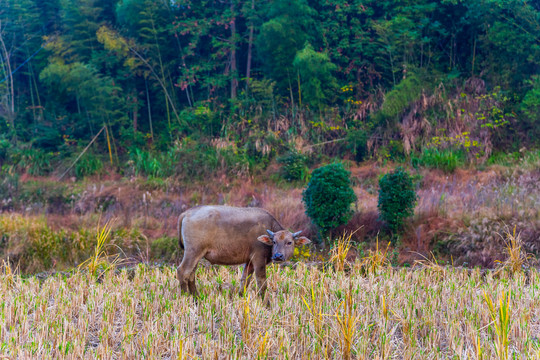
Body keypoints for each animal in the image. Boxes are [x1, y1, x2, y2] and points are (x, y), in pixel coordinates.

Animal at [177, 205, 310, 298]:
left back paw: (196, 298)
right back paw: (185, 297)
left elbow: (244, 281)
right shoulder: (258, 258)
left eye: (289, 242)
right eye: (274, 241)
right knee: (182, 271)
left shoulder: (249, 262)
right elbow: (262, 283)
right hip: (193, 252)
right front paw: (266, 305)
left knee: (191, 274)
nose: (278, 256)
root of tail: (187, 213)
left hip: (197, 255)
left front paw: (241, 297)